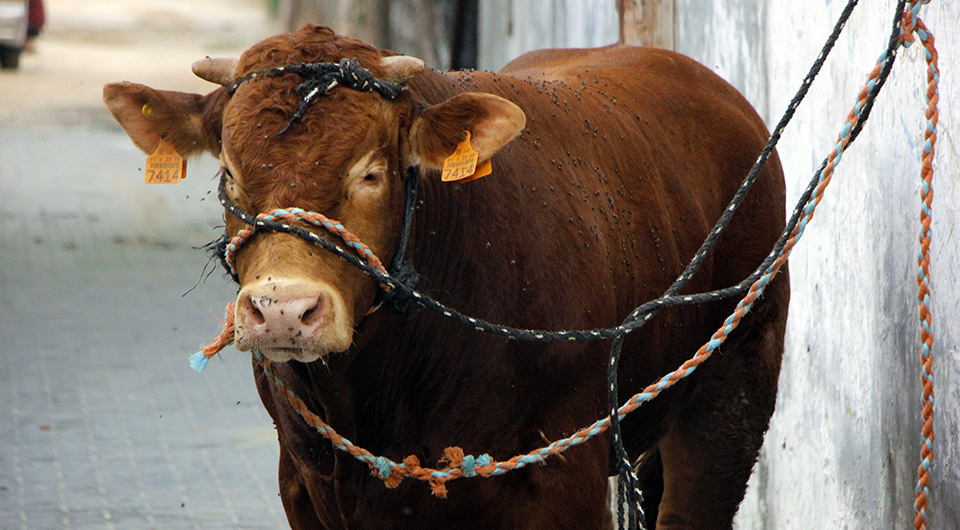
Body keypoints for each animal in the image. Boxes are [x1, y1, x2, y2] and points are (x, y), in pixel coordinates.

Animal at [103, 25, 789, 530]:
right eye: (229, 173)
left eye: (371, 172)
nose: (282, 311)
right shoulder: (303, 480)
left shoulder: (562, 479)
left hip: (734, 387)